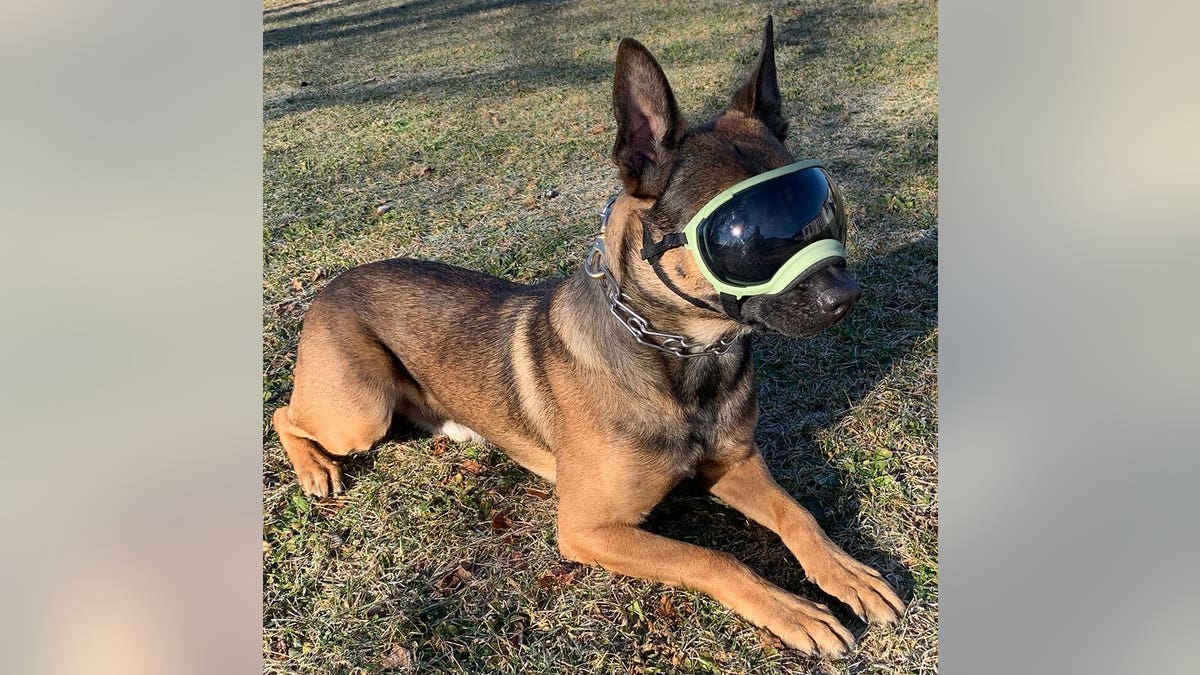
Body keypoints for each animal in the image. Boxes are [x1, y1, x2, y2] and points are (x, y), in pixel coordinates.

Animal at [272, 18, 902, 653]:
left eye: (815, 204)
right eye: (744, 237)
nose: (847, 295)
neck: (677, 357)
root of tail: (334, 282)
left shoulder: (737, 463)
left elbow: (799, 515)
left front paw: (845, 572)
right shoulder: (587, 529)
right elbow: (714, 559)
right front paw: (792, 609)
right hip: (360, 413)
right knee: (284, 414)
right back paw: (315, 469)